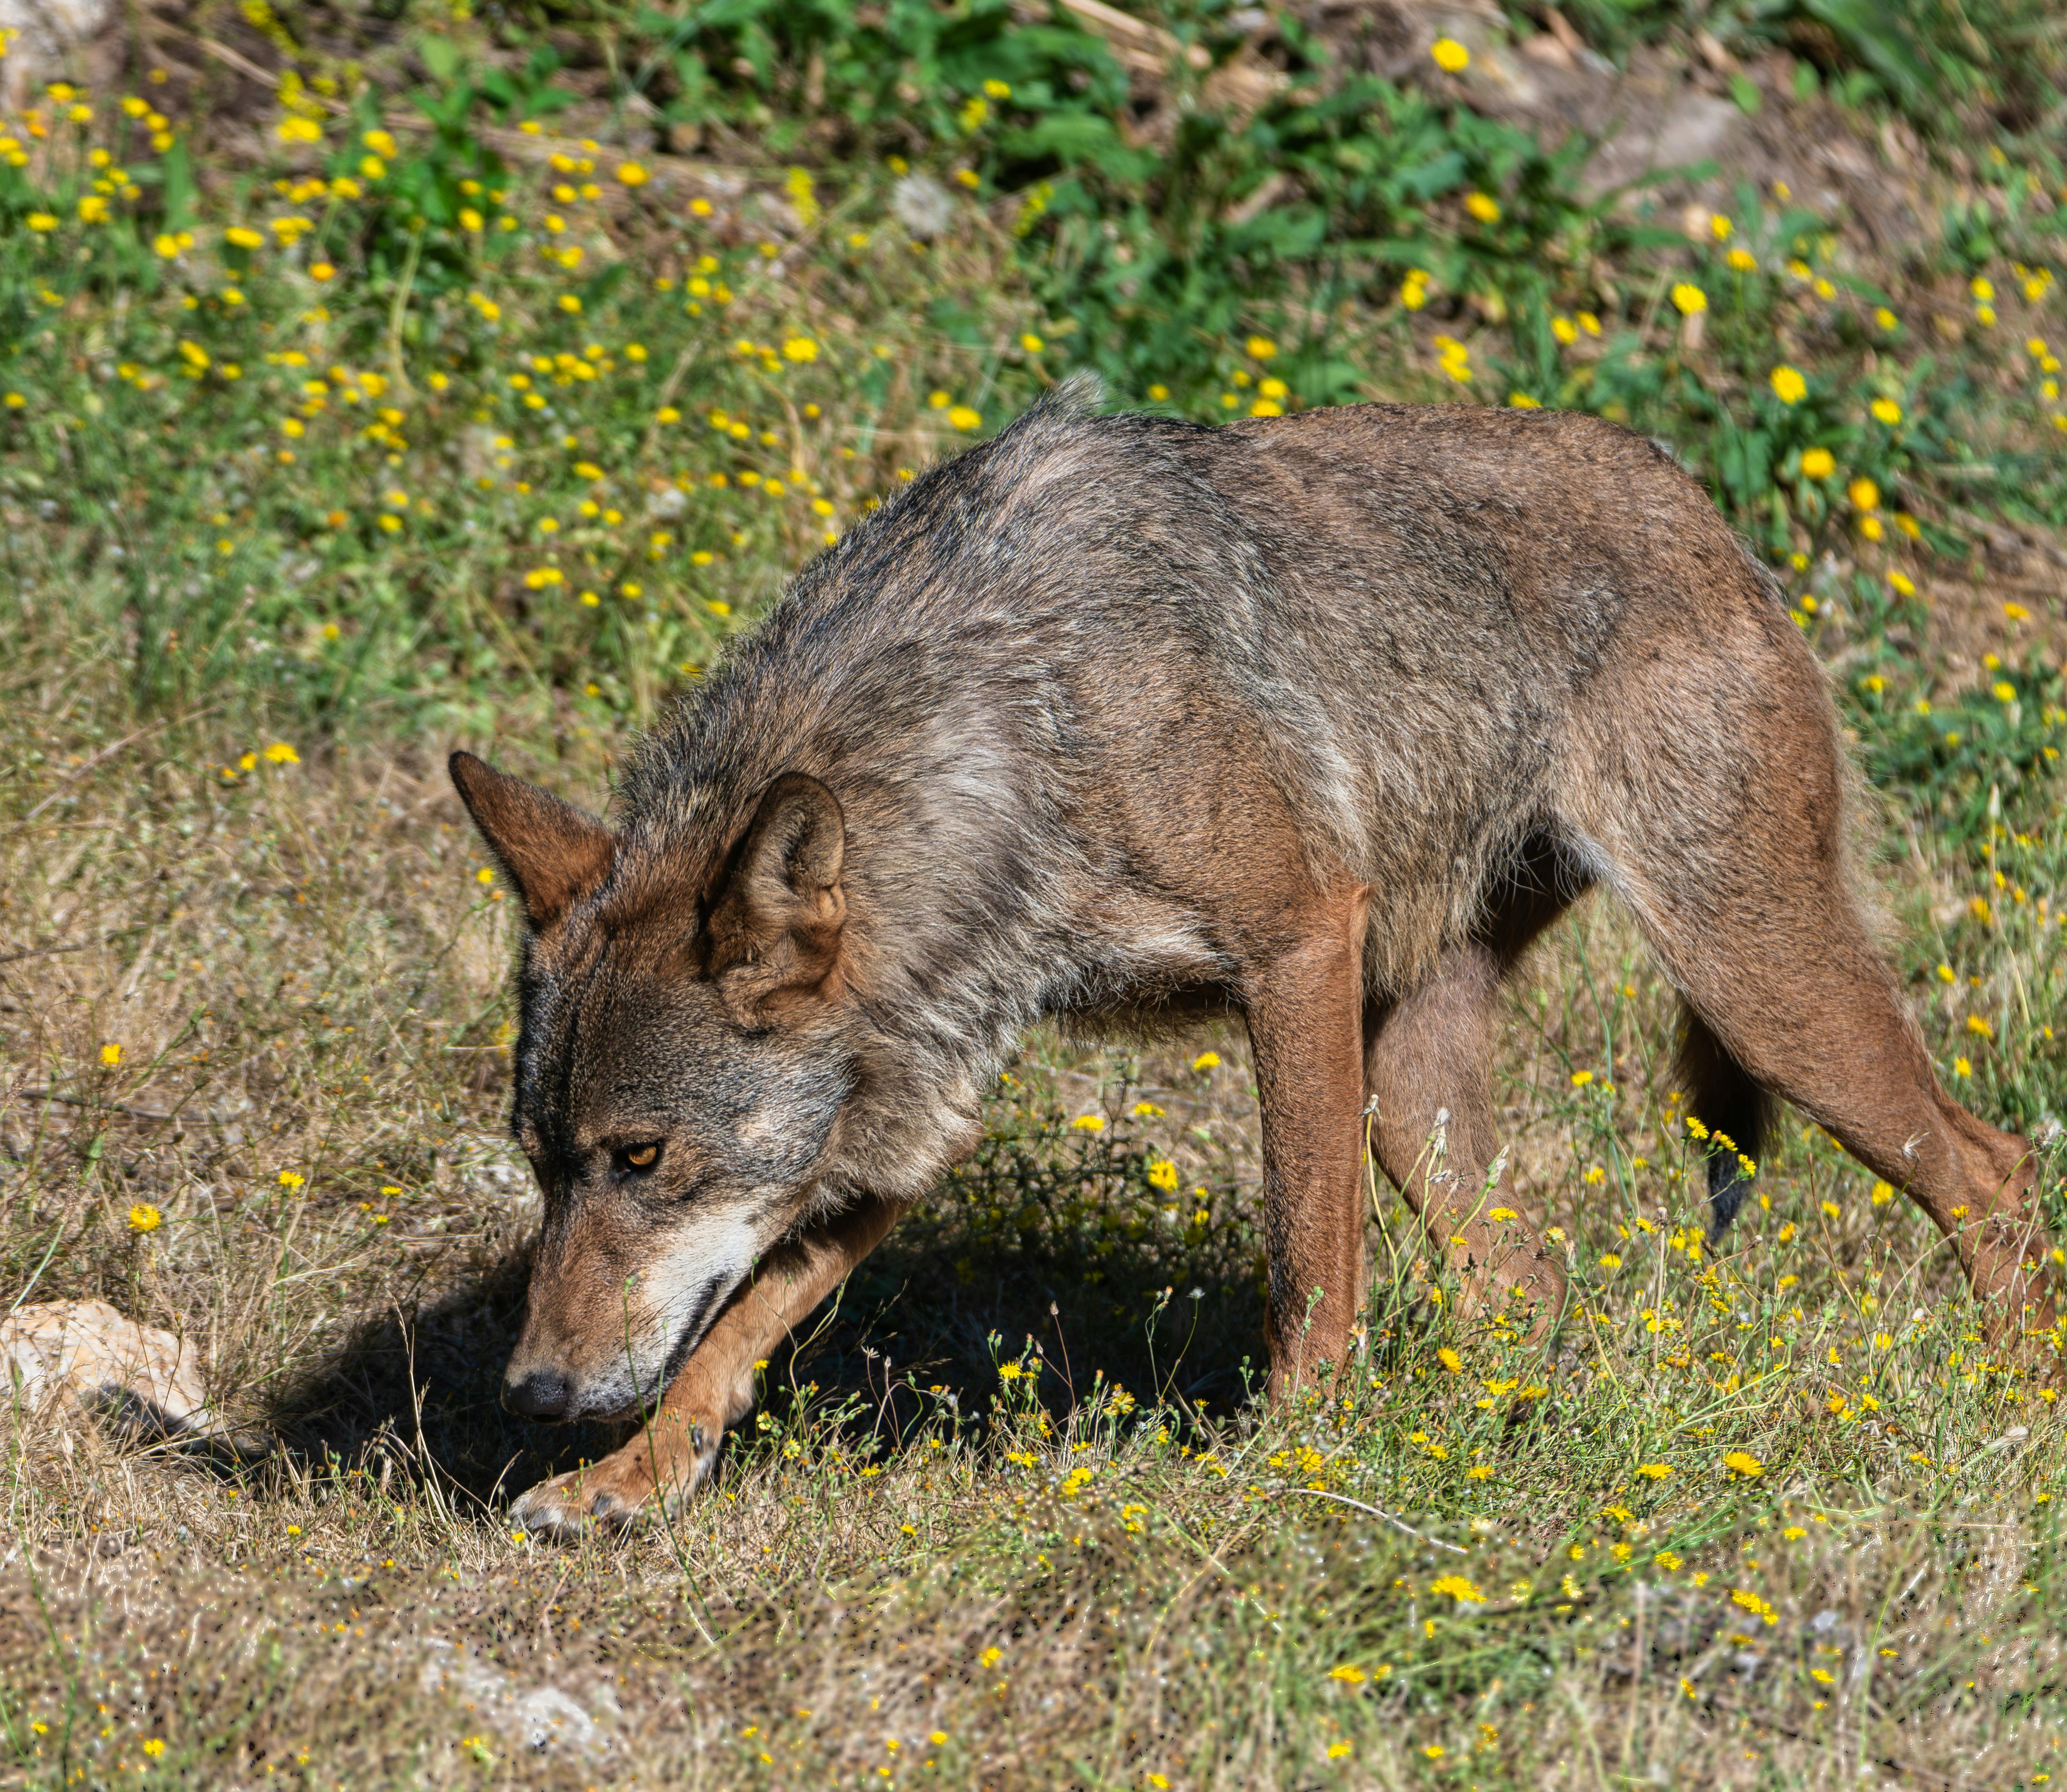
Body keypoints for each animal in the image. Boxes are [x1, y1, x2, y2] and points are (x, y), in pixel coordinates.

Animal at [452, 389, 2054, 1535]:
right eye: (542, 1161)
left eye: (640, 1157)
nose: (529, 1389)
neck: (1015, 723)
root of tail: (1699, 505)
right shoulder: (906, 1112)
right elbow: (732, 1336)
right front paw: (621, 1488)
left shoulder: (1295, 944)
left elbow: (1304, 1262)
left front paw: (1284, 1458)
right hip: (1416, 1090)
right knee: (1529, 1279)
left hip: (1749, 986)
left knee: (1992, 1164)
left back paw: (2018, 1406)